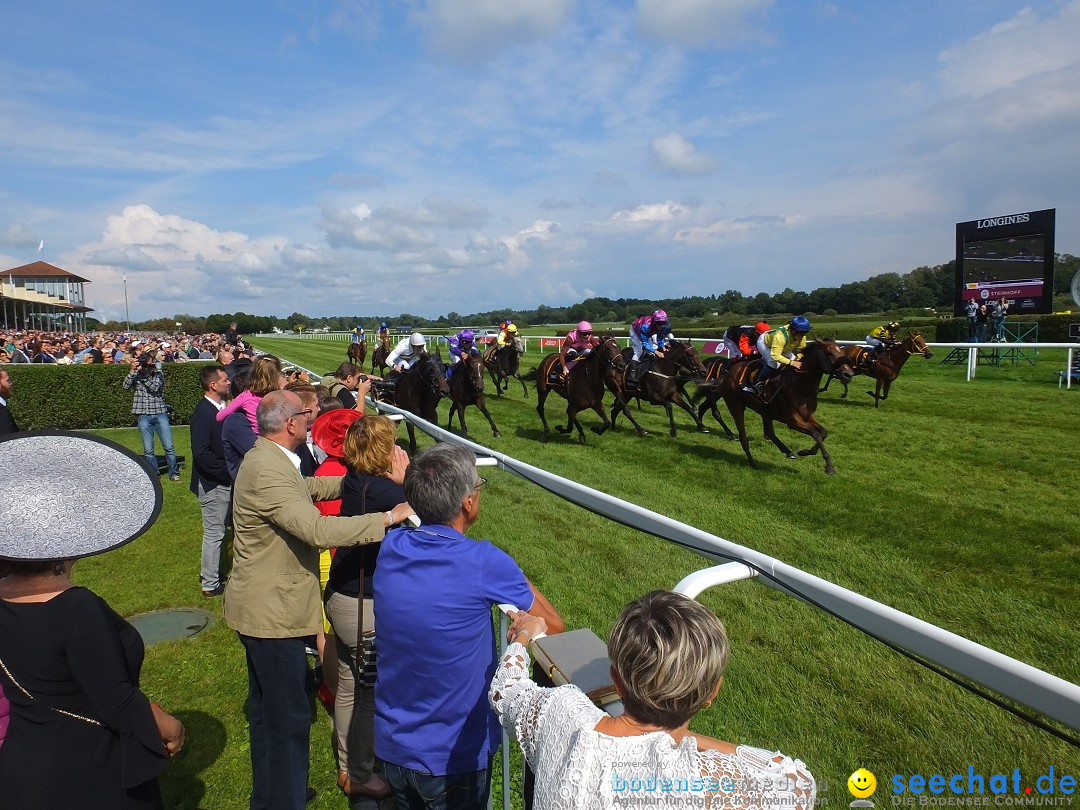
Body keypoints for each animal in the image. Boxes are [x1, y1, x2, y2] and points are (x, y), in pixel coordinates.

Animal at [699, 341, 851, 479]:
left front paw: (806, 451)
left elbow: (823, 432)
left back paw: (788, 451)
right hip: (736, 406)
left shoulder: (807, 416)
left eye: (842, 352)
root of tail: (728, 374)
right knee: (743, 436)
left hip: (765, 410)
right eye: (829, 353)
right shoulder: (792, 421)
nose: (848, 374)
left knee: (769, 432)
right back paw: (752, 461)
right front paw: (829, 466)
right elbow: (816, 434)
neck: (800, 385)